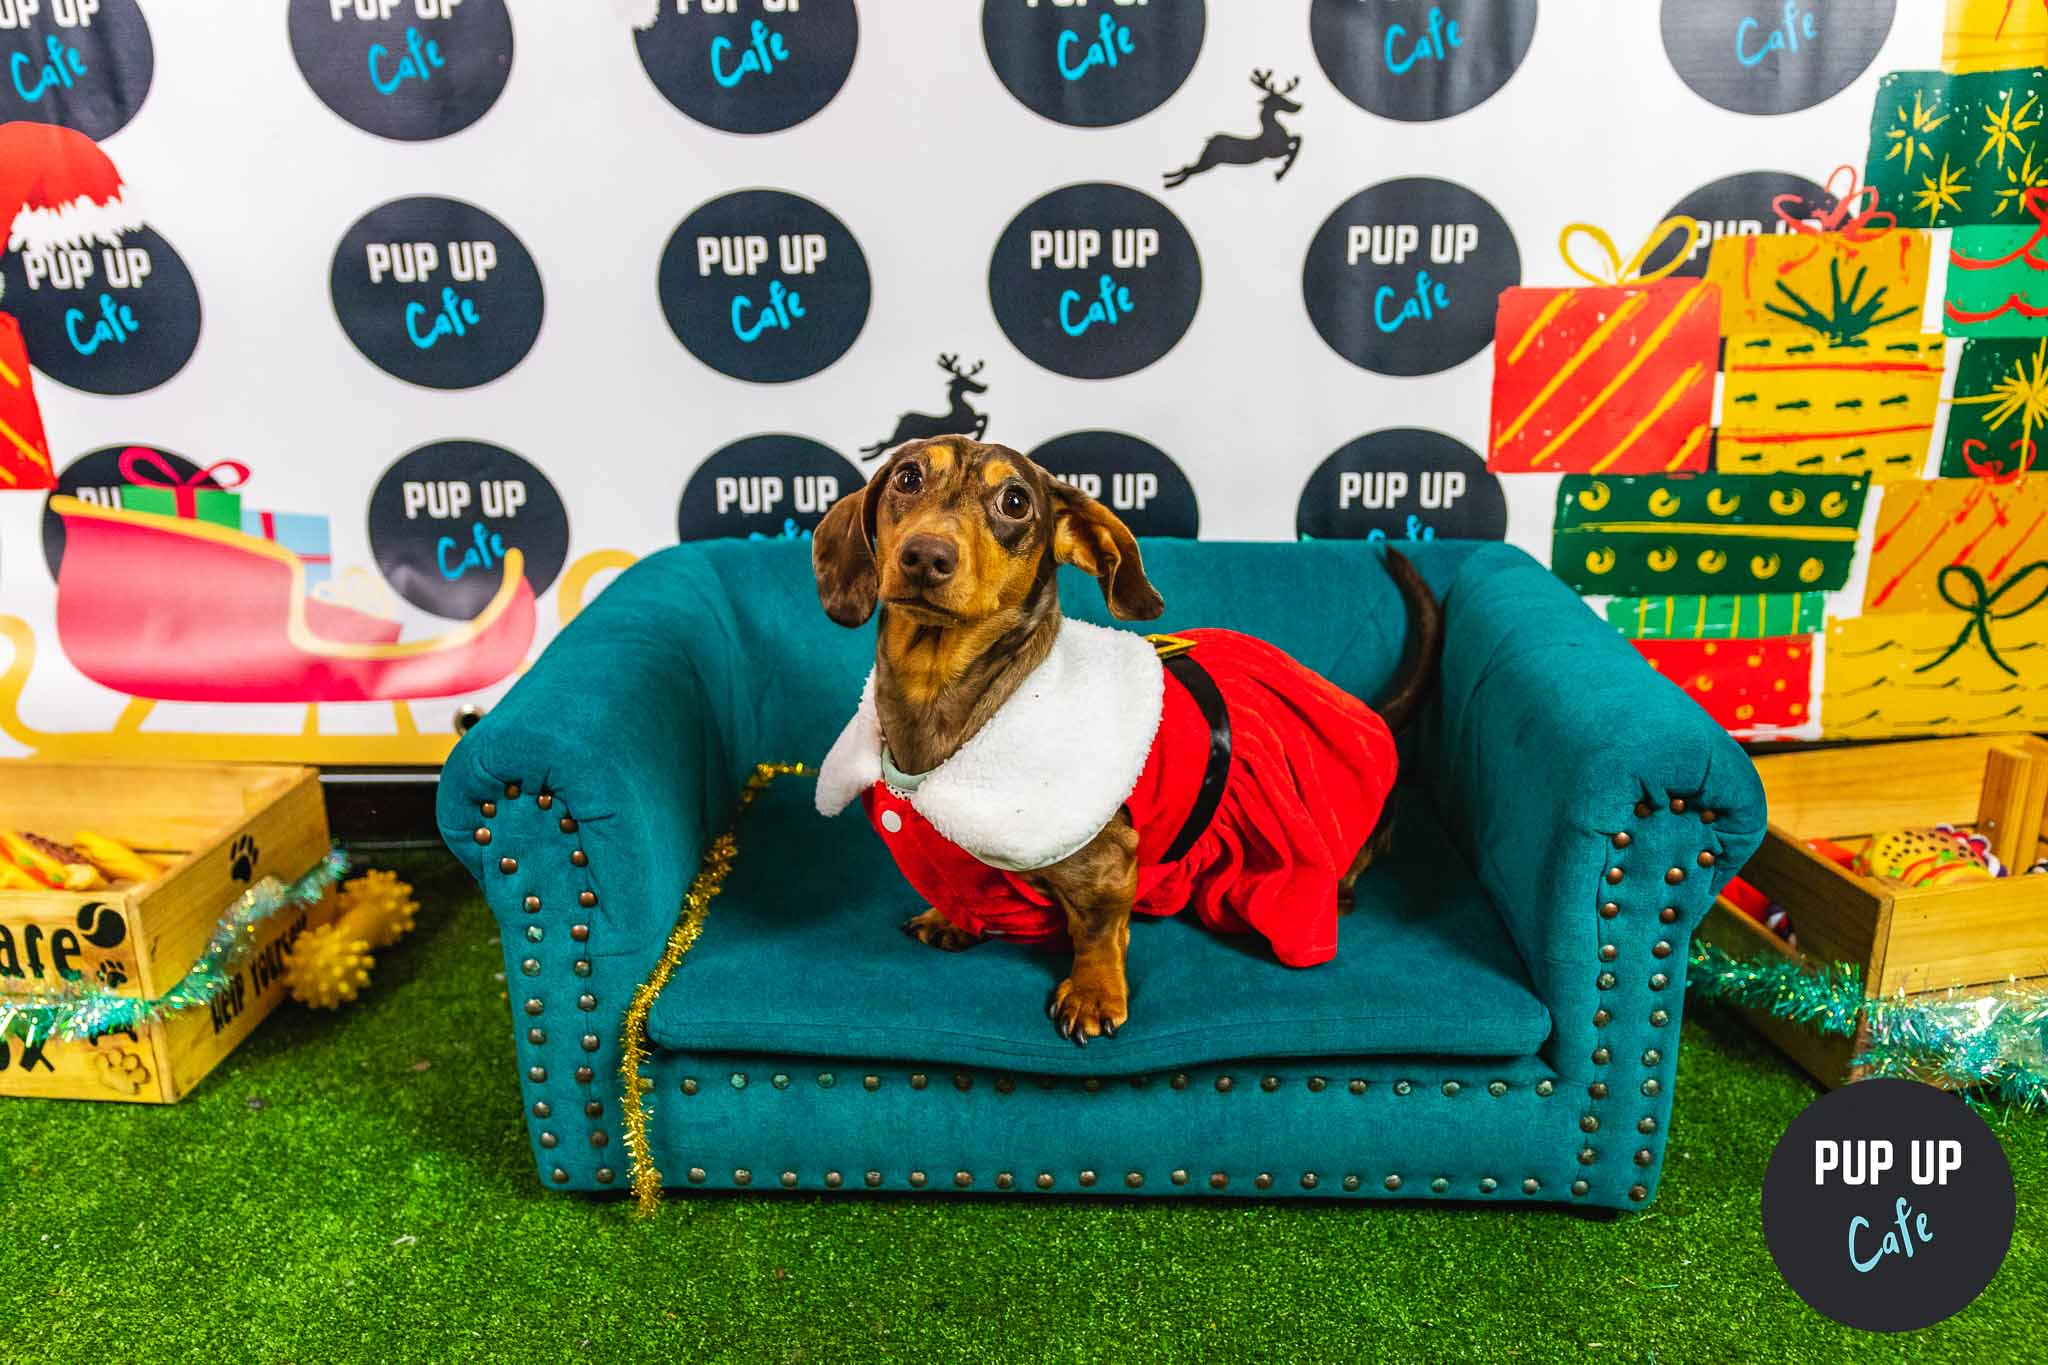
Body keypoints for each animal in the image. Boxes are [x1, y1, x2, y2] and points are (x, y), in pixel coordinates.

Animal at [811, 437, 1441, 1047]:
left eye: (1015, 502)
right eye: (908, 477)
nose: (925, 556)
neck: (940, 695)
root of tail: (1365, 711)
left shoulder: (1106, 863)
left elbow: (1097, 929)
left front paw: (1093, 993)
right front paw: (951, 919)